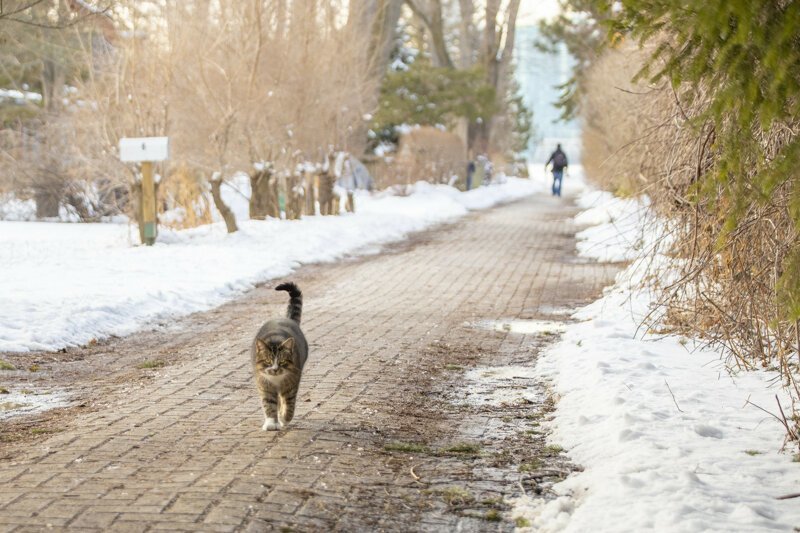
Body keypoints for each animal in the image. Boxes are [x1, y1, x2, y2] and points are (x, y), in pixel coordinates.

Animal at [252, 282, 308, 428]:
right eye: (267, 361)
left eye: (282, 362)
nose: (275, 369)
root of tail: (286, 319)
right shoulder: (264, 383)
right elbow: (269, 403)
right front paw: (271, 423)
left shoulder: (291, 383)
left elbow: (289, 404)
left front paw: (284, 418)